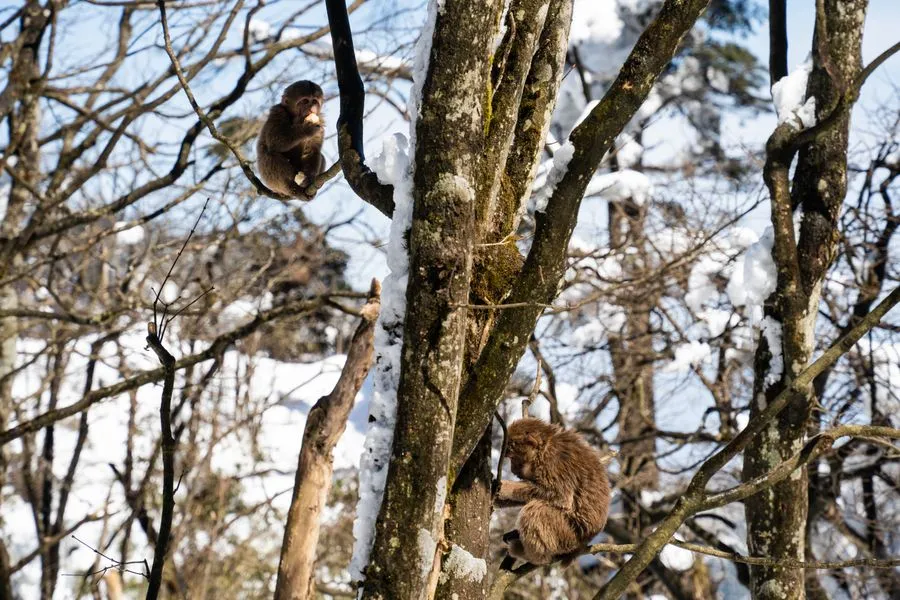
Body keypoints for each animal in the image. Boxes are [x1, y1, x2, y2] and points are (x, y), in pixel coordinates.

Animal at [494, 417, 611, 566]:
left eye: (513, 457)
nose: (513, 469)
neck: (544, 449)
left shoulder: (554, 462)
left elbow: (559, 496)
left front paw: (505, 487)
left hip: (568, 534)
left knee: (535, 511)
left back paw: (529, 554)